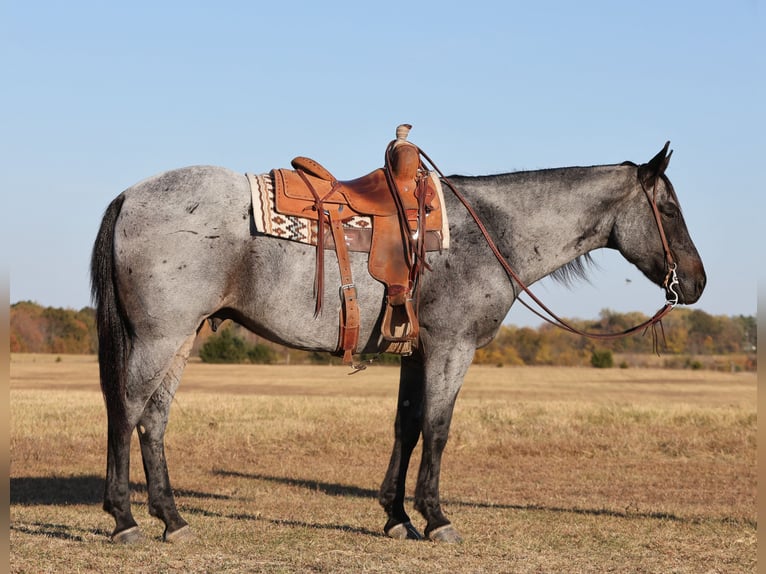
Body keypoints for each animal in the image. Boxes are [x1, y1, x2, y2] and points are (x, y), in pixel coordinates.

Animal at [90, 142, 708, 548]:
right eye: (670, 209)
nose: (698, 283)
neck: (489, 231)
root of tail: (129, 195)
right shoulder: (452, 347)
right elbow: (437, 427)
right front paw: (436, 518)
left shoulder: (418, 351)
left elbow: (406, 426)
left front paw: (396, 517)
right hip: (160, 336)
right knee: (126, 411)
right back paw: (125, 520)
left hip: (180, 338)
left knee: (153, 420)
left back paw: (173, 520)